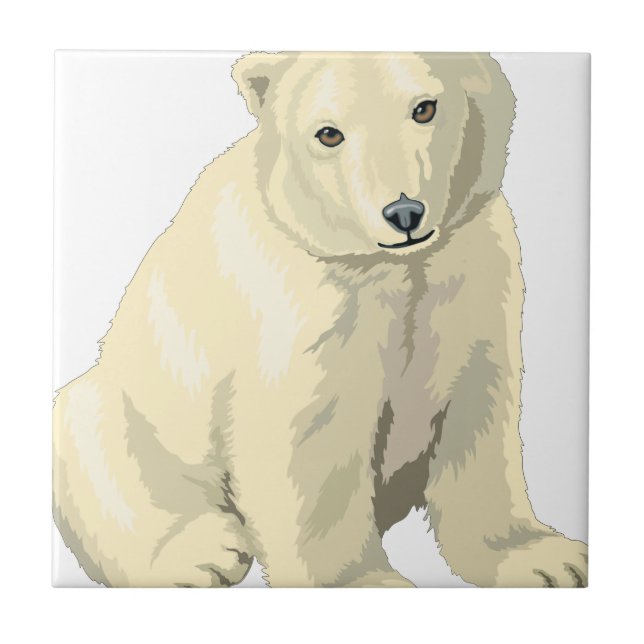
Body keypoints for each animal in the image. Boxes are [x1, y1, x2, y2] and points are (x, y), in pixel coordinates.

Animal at [53, 51, 588, 587]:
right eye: (329, 134)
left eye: (424, 107)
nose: (404, 212)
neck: (394, 265)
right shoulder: (305, 307)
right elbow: (312, 439)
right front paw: (364, 581)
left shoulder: (474, 270)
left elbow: (480, 413)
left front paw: (545, 559)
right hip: (135, 409)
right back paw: (203, 555)